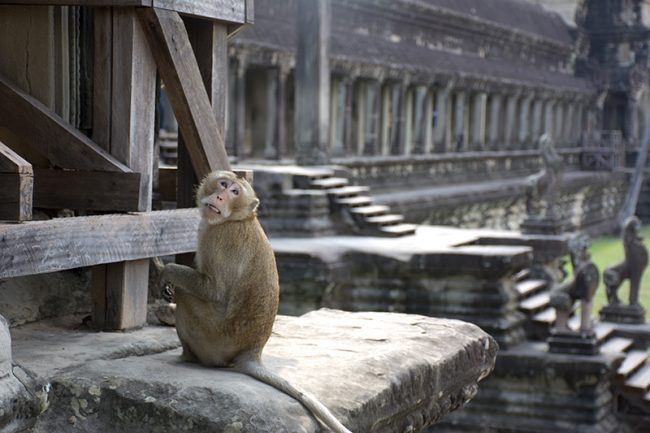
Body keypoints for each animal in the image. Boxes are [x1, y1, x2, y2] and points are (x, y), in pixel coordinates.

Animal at [161, 170, 352, 432]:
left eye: (234, 192)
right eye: (223, 183)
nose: (220, 196)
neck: (238, 219)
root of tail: (252, 352)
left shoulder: (220, 239)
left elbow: (213, 290)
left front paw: (165, 271)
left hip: (211, 339)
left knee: (187, 297)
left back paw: (186, 356)